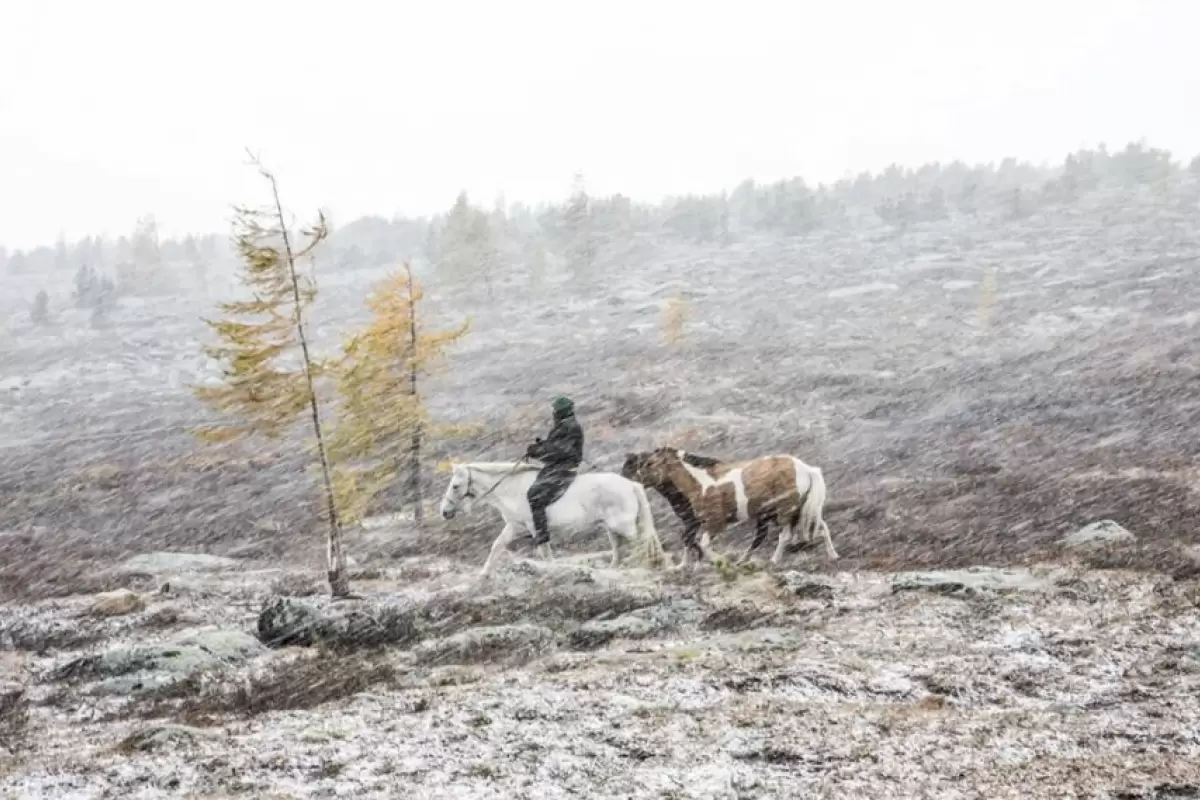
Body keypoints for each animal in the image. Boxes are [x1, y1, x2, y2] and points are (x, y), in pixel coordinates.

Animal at [439, 462, 672, 575]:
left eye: (455, 486)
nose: (445, 512)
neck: (513, 488)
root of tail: (630, 484)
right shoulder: (514, 526)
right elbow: (497, 545)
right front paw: (484, 574)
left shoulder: (535, 526)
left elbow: (544, 551)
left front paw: (553, 570)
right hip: (611, 527)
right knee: (620, 548)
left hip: (622, 525)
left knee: (641, 543)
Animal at [619, 448, 835, 566]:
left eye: (650, 463)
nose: (627, 481)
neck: (701, 483)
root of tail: (806, 468)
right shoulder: (699, 522)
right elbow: (692, 541)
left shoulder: (714, 523)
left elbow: (702, 544)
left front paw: (719, 562)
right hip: (801, 509)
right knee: (821, 527)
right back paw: (833, 555)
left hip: (785, 510)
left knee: (785, 535)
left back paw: (774, 560)